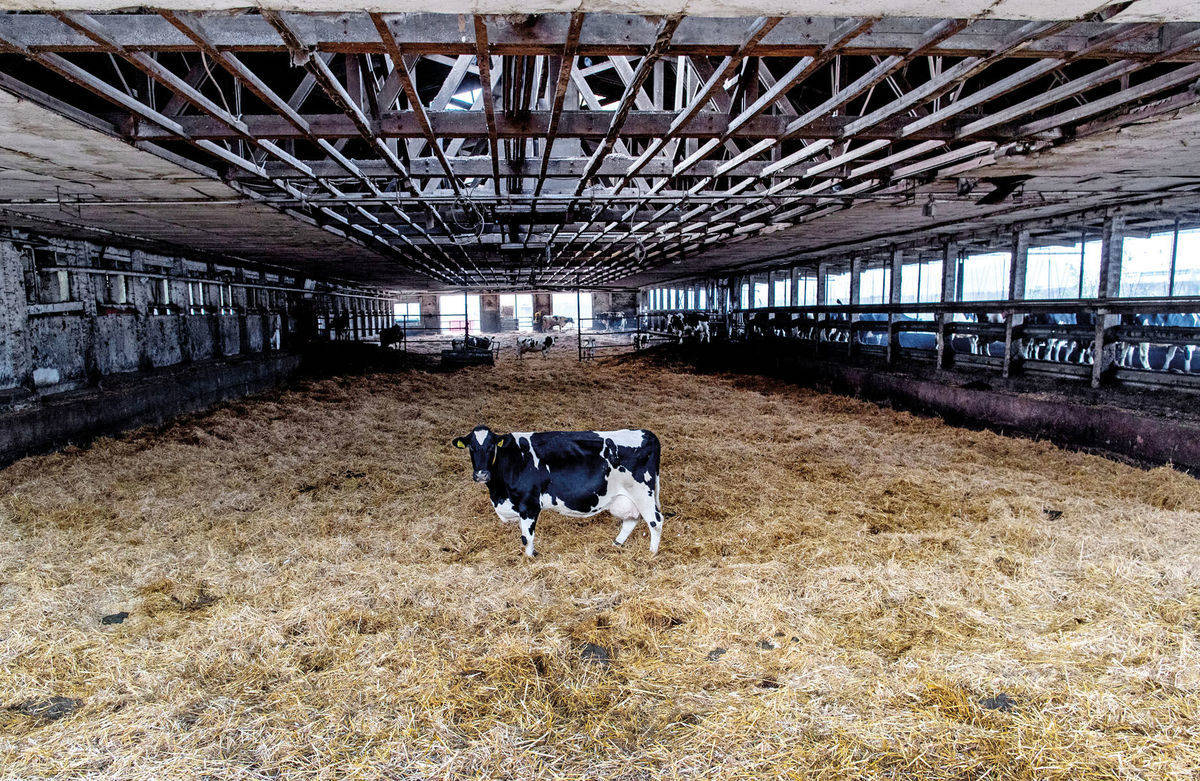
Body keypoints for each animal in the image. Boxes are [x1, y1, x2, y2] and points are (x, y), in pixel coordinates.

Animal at [453, 424, 667, 559]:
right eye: (472, 447)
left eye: (491, 447)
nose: (481, 474)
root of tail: (647, 433)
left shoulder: (529, 505)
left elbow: (526, 537)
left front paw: (529, 558)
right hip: (625, 498)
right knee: (631, 520)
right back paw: (616, 544)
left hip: (643, 492)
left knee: (655, 521)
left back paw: (651, 553)